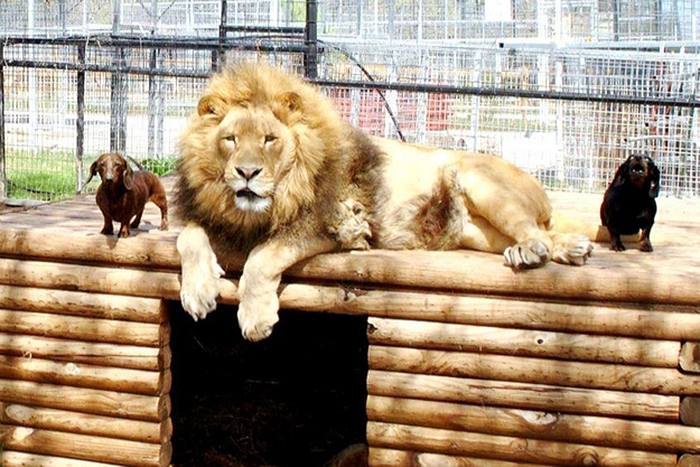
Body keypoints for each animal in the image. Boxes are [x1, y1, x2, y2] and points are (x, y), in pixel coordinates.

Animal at [175, 63, 594, 342]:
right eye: (230, 139)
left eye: (269, 139)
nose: (246, 172)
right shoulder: (209, 217)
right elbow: (187, 238)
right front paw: (198, 293)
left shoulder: (336, 224)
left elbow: (263, 256)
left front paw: (255, 317)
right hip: (478, 232)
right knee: (542, 232)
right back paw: (570, 249)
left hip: (479, 179)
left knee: (535, 230)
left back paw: (537, 251)